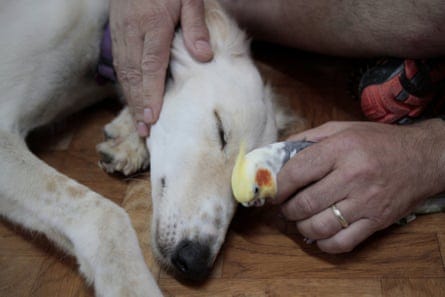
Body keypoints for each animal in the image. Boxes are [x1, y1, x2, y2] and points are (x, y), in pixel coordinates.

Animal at [0, 1, 298, 294]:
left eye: (253, 195)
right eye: (221, 131)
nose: (195, 261)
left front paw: (129, 137)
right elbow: (106, 214)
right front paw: (132, 286)